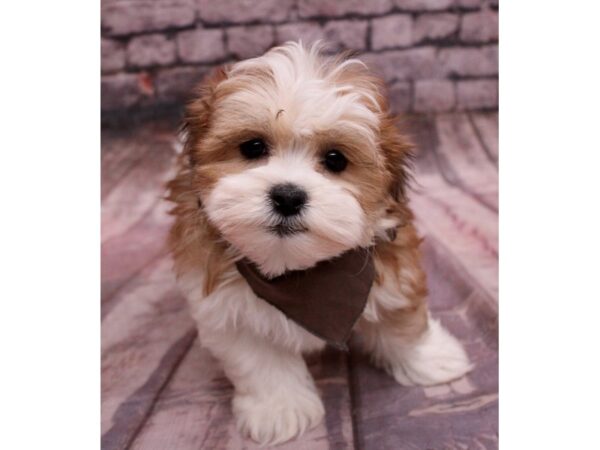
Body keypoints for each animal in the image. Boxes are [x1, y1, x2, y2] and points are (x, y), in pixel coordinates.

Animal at [166, 43, 472, 446]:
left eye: (335, 160)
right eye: (253, 148)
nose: (288, 196)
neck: (297, 271)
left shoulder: (391, 265)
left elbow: (401, 319)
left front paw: (430, 358)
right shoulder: (227, 311)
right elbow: (261, 362)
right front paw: (280, 409)